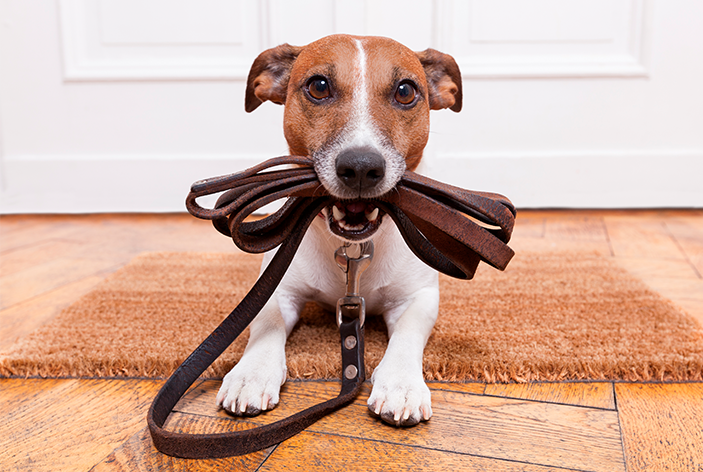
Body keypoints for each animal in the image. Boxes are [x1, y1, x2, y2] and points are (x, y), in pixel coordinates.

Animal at [217, 32, 464, 424]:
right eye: (319, 86)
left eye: (405, 91)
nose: (361, 167)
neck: (353, 248)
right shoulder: (277, 289)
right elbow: (265, 323)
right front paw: (251, 374)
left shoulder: (418, 297)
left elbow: (408, 334)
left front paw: (400, 384)